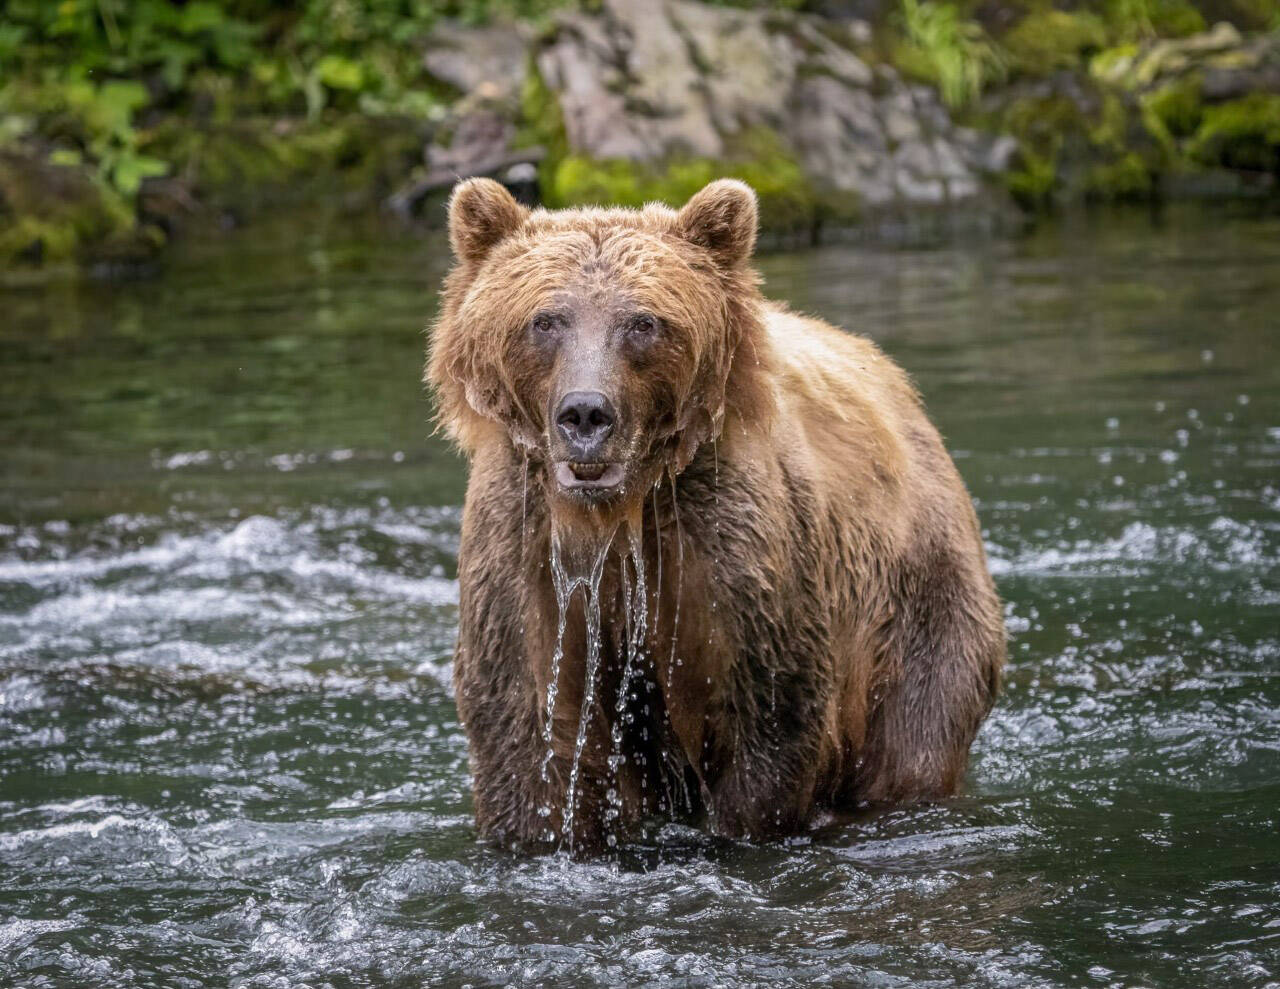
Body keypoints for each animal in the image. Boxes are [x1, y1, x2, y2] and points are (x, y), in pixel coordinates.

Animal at [424, 175, 1003, 849]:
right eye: (544, 320)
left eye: (643, 322)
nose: (586, 414)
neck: (616, 516)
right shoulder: (526, 546)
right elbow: (529, 727)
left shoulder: (726, 549)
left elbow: (767, 715)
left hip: (919, 599)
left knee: (915, 735)